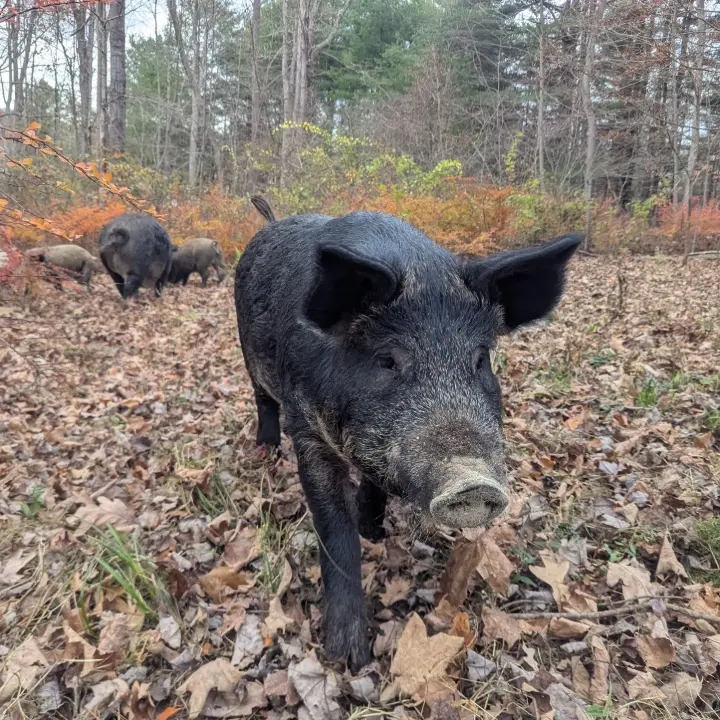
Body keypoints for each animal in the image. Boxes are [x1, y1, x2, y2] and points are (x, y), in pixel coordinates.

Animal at [234, 201, 581, 670]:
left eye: (480, 358)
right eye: (387, 360)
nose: (472, 481)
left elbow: (375, 488)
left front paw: (374, 532)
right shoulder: (307, 432)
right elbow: (336, 536)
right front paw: (348, 659)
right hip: (247, 354)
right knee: (260, 398)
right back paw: (265, 451)